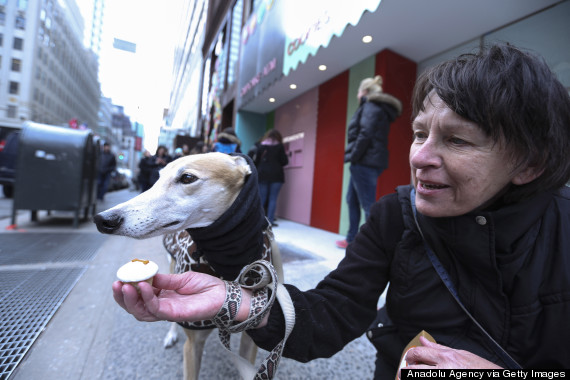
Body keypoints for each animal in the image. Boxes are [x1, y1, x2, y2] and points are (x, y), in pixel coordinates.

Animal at [93, 152, 284, 380]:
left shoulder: (250, 341)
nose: (103, 220)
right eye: (158, 178)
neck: (229, 258)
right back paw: (171, 335)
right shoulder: (192, 345)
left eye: (187, 178)